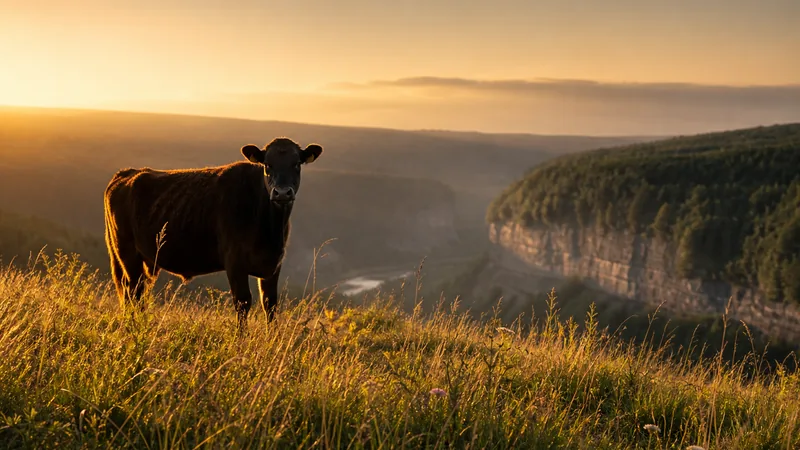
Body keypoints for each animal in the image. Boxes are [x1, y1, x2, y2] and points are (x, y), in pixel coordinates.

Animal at [103, 137, 323, 332]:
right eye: (267, 165)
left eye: (297, 164)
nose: (282, 192)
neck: (269, 229)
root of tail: (128, 173)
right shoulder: (234, 262)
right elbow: (243, 302)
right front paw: (240, 340)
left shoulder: (274, 264)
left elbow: (270, 304)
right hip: (126, 253)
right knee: (133, 291)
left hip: (146, 259)